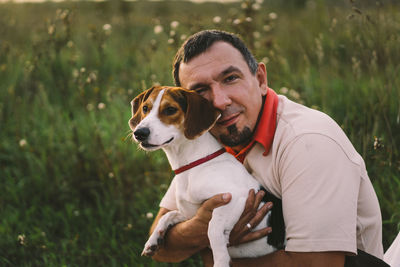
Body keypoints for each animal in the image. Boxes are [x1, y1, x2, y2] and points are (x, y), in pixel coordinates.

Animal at [129, 86, 284, 267]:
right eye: (145, 108)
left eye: (170, 109)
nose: (139, 133)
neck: (193, 165)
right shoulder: (191, 214)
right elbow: (169, 215)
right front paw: (153, 240)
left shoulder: (235, 197)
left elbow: (213, 229)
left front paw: (221, 260)